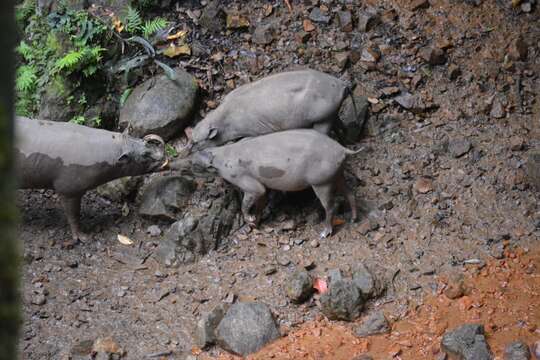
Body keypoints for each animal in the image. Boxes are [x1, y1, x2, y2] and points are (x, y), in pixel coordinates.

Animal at [16, 116, 167, 242]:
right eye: (145, 155)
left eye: (140, 140)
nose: (167, 160)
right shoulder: (69, 191)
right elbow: (73, 215)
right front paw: (82, 237)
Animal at [179, 129, 360, 239]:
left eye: (194, 166)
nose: (179, 163)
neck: (220, 157)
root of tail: (343, 150)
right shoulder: (262, 188)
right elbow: (262, 200)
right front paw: (256, 222)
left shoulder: (244, 180)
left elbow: (252, 197)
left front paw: (250, 219)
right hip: (337, 173)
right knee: (350, 193)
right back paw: (353, 219)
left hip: (322, 182)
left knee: (331, 205)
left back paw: (324, 233)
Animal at [188, 69, 360, 151]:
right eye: (190, 139)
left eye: (196, 142)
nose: (184, 153)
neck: (227, 121)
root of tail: (342, 85)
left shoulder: (254, 130)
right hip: (332, 112)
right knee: (339, 125)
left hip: (323, 117)